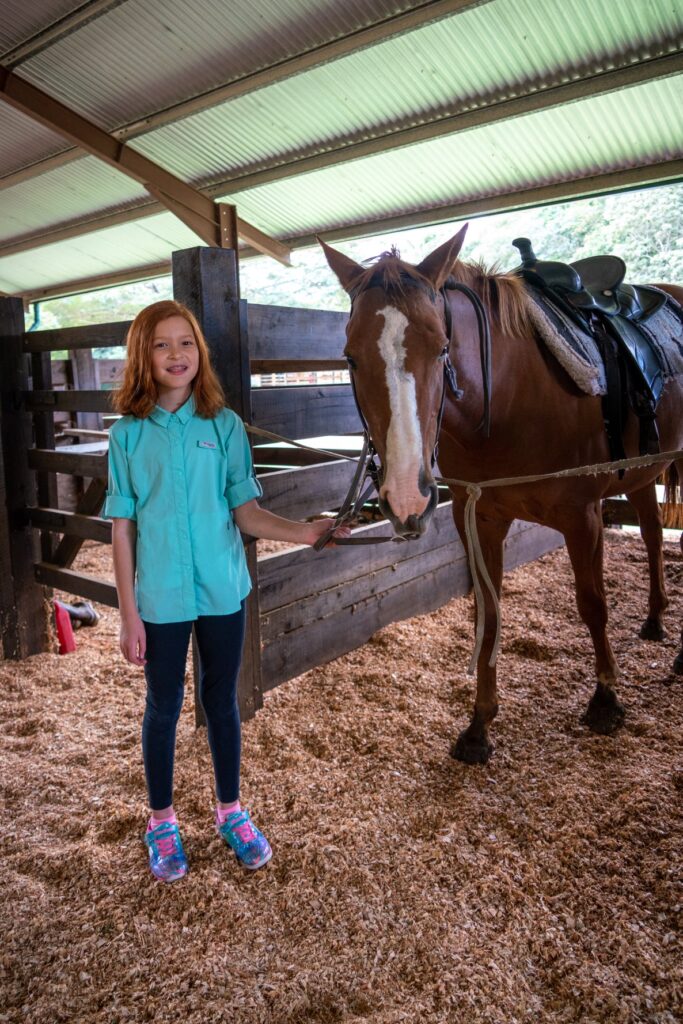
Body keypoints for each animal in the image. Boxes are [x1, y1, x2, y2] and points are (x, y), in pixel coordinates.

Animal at [320, 225, 683, 764]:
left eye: (442, 348)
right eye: (350, 357)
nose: (407, 500)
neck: (509, 397)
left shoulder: (583, 516)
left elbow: (592, 603)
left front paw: (605, 699)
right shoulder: (480, 518)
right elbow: (486, 616)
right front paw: (479, 726)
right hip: (640, 473)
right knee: (655, 535)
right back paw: (656, 617)